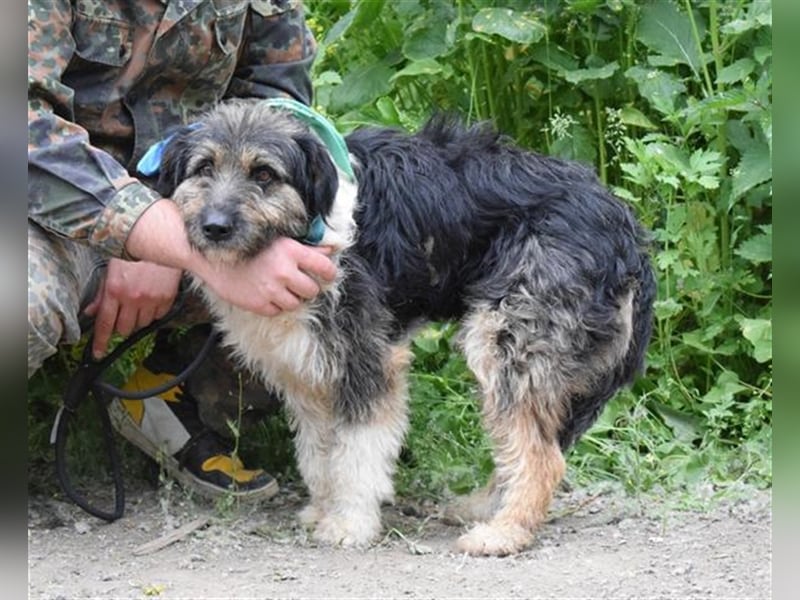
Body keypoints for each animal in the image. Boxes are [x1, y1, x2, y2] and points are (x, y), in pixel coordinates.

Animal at [155, 99, 656, 556]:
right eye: (204, 167)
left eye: (263, 174)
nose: (215, 226)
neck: (310, 226)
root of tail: (625, 227)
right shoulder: (308, 372)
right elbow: (318, 453)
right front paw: (323, 509)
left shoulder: (368, 359)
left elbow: (357, 454)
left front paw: (350, 523)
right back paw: (485, 507)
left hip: (507, 342)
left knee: (542, 457)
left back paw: (504, 532)